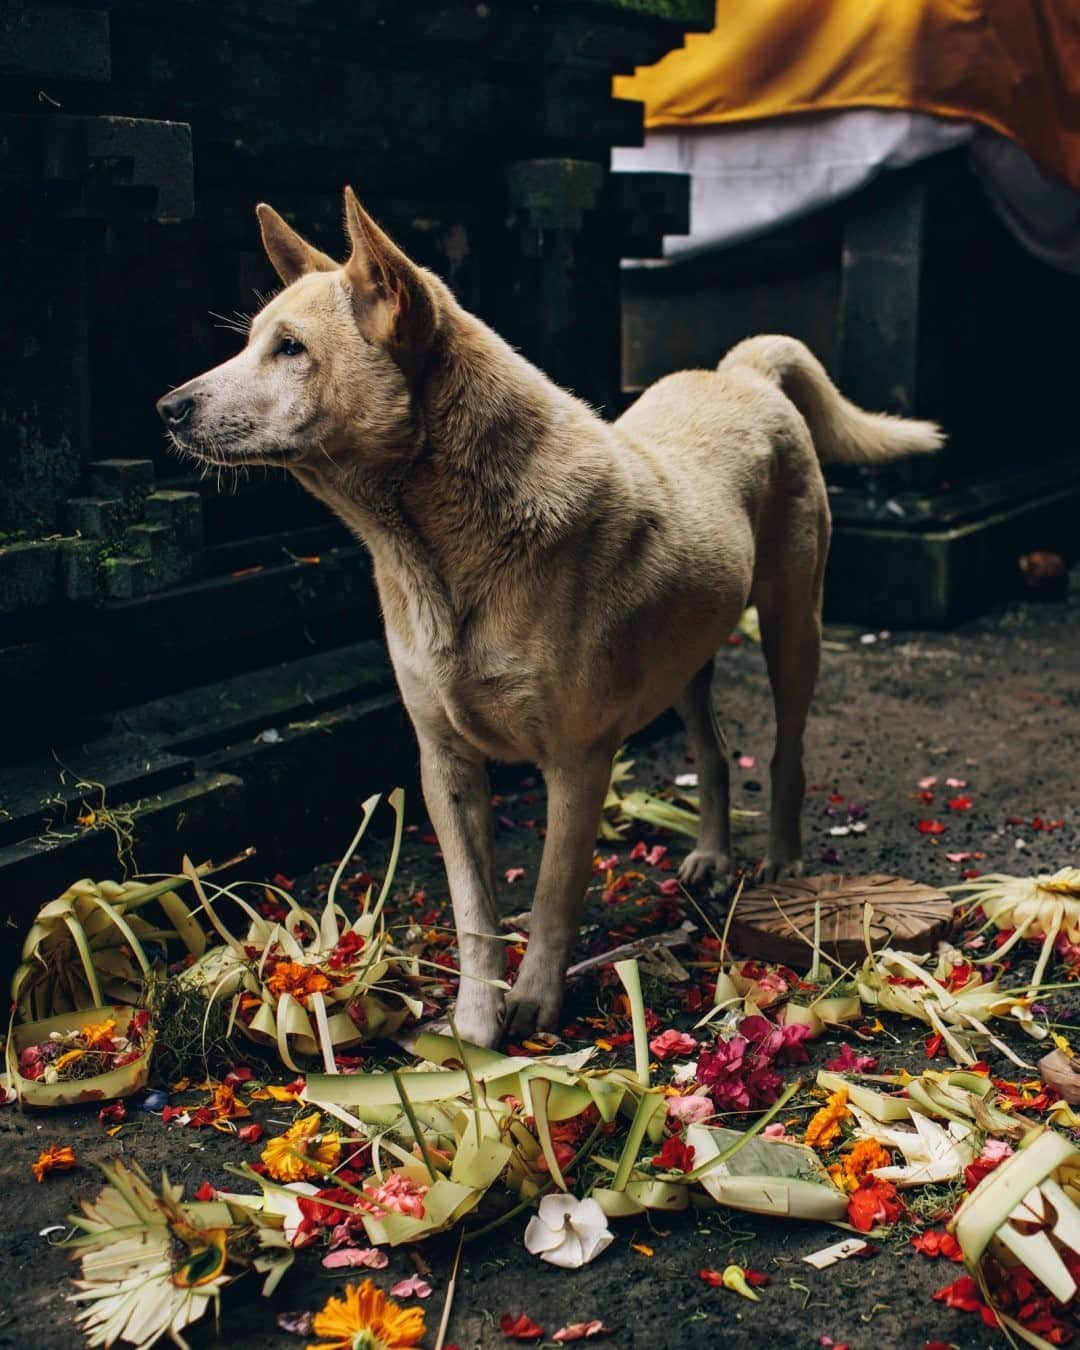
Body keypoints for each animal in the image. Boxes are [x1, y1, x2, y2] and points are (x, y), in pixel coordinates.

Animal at [155, 187, 939, 1042]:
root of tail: (739, 371)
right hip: (685, 660)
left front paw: (534, 1003)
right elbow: (474, 910)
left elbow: (553, 893)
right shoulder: (444, 766)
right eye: (253, 341)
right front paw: (475, 1026)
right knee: (713, 750)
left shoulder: (577, 762)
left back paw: (784, 858)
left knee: (786, 748)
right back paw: (710, 855)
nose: (168, 406)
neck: (433, 549)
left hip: (795, 627)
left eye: (291, 348)